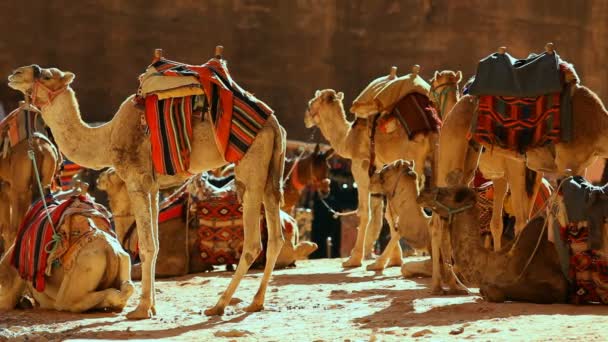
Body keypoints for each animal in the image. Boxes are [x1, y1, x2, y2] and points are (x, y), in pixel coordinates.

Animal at [0, 191, 134, 312]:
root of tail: (109, 249)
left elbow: (6, 301)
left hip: (86, 264)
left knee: (66, 302)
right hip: (123, 257)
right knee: (127, 287)